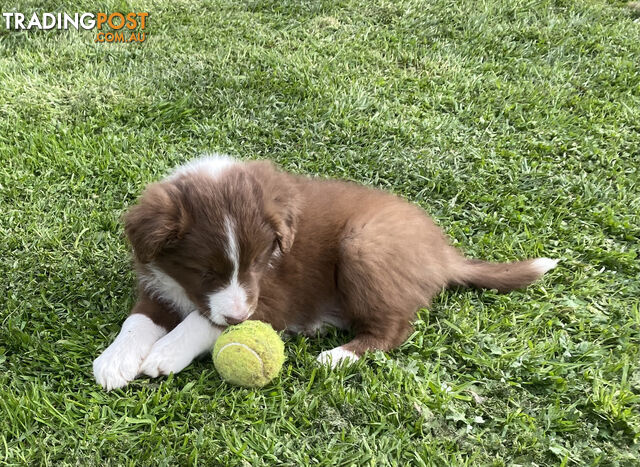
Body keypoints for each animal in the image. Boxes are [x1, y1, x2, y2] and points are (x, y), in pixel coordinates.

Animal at [92, 156, 556, 392]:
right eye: (203, 271)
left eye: (258, 262)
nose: (240, 318)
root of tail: (443, 252)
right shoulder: (158, 282)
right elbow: (137, 320)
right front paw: (115, 360)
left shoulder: (271, 294)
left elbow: (203, 321)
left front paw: (166, 352)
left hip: (364, 245)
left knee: (395, 328)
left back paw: (338, 356)